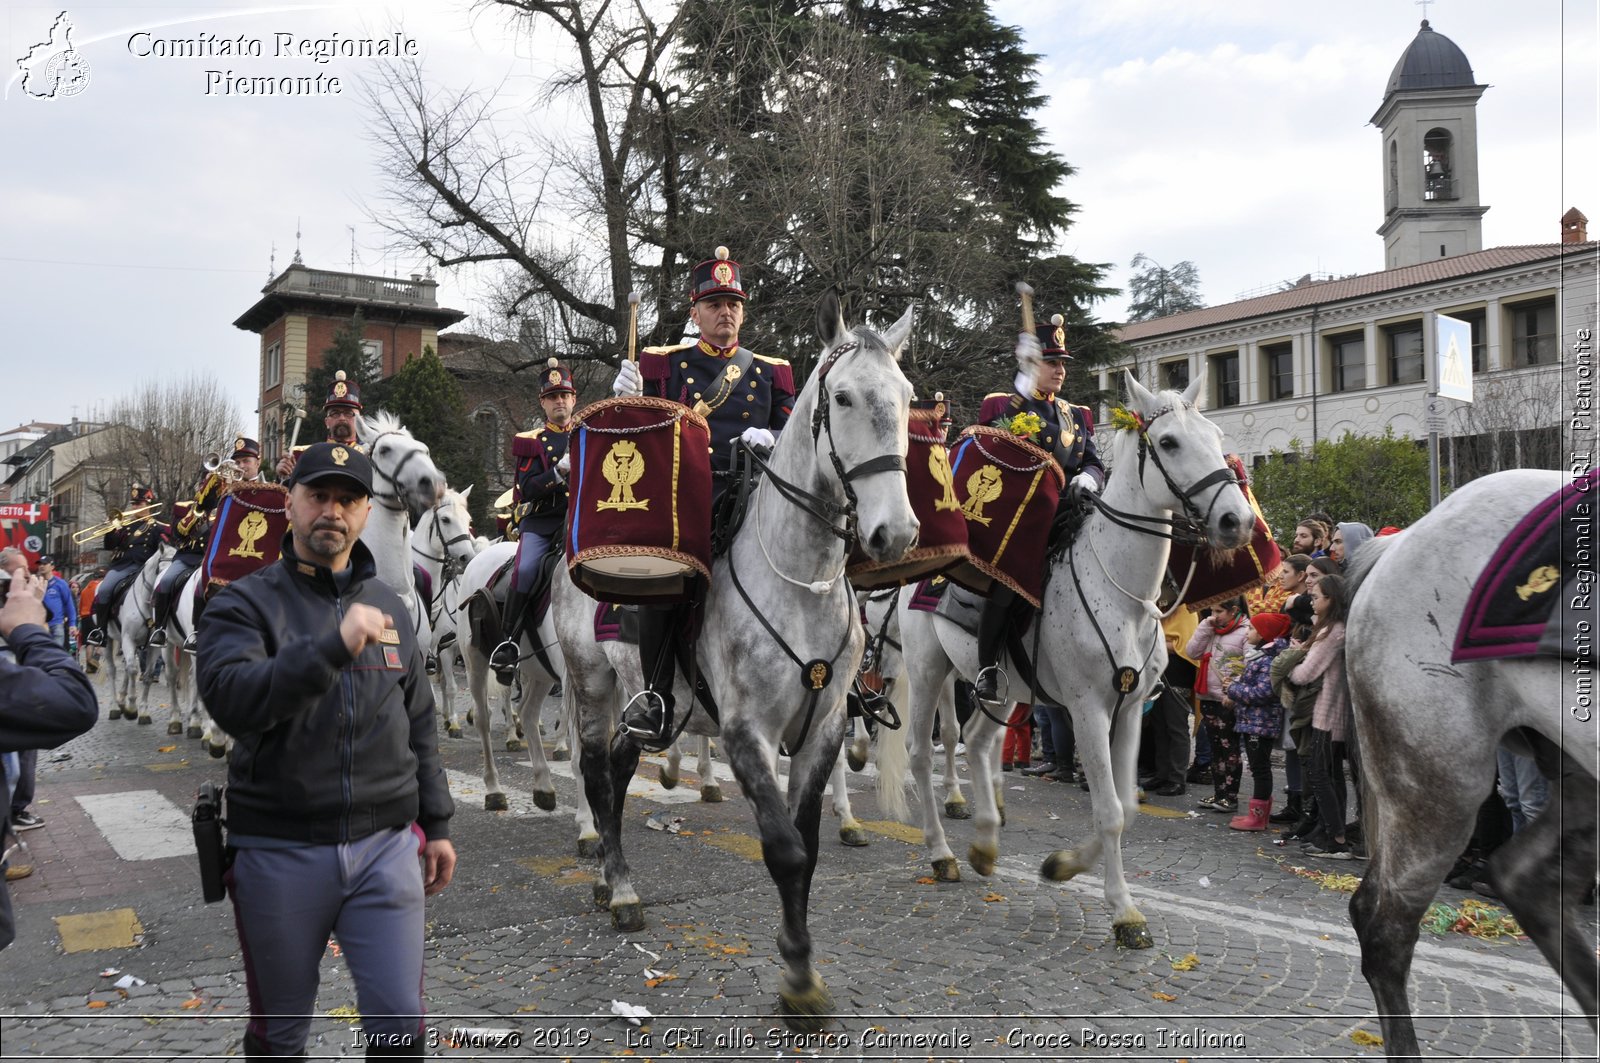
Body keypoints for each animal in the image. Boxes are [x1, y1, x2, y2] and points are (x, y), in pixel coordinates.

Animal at [103, 547, 173, 723]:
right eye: (161, 568)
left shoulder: (153, 645)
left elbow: (147, 675)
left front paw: (143, 711)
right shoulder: (128, 639)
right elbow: (134, 671)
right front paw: (132, 709)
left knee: (128, 668)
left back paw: (121, 700)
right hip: (107, 641)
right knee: (112, 670)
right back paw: (114, 706)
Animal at [876, 371, 1248, 947]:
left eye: (1215, 435)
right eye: (1168, 443)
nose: (1237, 520)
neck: (1121, 592)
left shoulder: (1130, 708)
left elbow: (1127, 806)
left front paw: (1064, 866)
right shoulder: (1088, 709)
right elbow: (1111, 810)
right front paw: (1124, 912)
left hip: (1003, 687)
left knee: (978, 744)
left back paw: (985, 844)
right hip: (927, 667)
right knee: (921, 751)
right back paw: (942, 854)